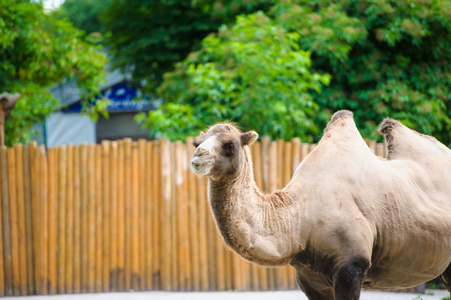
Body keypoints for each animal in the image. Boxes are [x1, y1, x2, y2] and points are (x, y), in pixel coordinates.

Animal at [190, 110, 451, 300]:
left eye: (230, 145)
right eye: (196, 142)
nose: (198, 157)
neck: (301, 217)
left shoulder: (351, 266)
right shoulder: (308, 276)